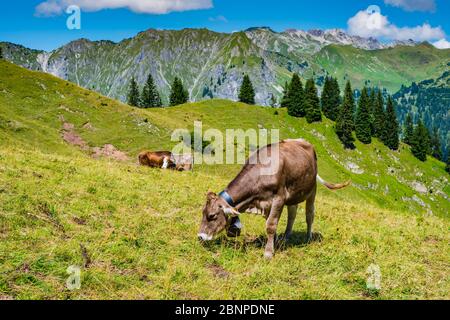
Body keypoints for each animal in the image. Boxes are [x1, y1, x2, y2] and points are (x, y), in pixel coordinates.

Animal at [199, 139, 350, 258]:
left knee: (310, 214)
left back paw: (308, 237)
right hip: (293, 194)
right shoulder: (265, 203)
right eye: (203, 212)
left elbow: (271, 225)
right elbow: (270, 223)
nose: (200, 236)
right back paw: (286, 237)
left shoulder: (279, 198)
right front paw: (275, 242)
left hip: (311, 191)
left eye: (212, 216)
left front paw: (268, 252)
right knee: (292, 214)